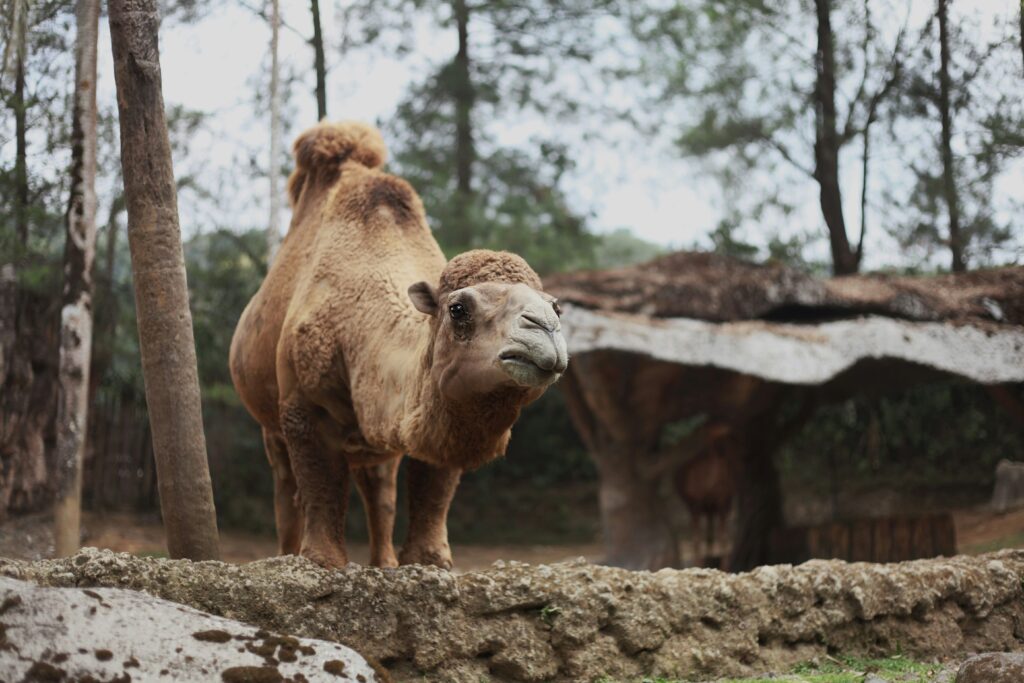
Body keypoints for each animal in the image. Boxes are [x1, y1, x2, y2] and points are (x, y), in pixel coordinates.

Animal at [228, 124, 573, 573]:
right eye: (458, 309)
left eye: (556, 306)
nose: (544, 328)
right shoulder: (303, 406)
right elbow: (319, 485)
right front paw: (319, 560)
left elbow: (432, 487)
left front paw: (428, 561)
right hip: (270, 422)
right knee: (287, 489)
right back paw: (285, 553)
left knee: (380, 491)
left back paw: (383, 563)